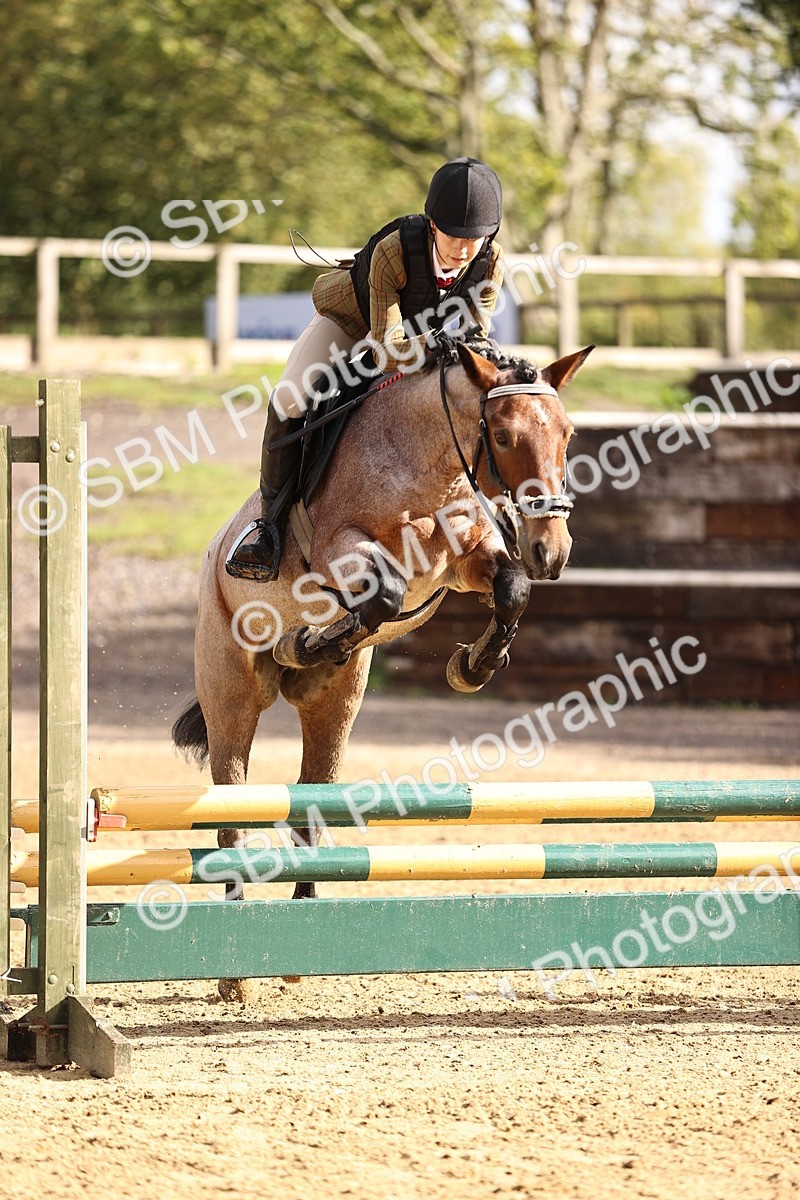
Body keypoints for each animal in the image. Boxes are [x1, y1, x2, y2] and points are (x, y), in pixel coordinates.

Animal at [173, 339, 593, 1000]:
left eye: (568, 432)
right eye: (502, 435)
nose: (552, 550)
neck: (427, 468)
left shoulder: (468, 559)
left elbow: (511, 588)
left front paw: (473, 665)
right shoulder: (345, 551)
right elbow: (387, 594)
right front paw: (321, 637)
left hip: (335, 705)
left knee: (310, 804)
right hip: (231, 695)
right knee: (230, 815)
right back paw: (234, 971)